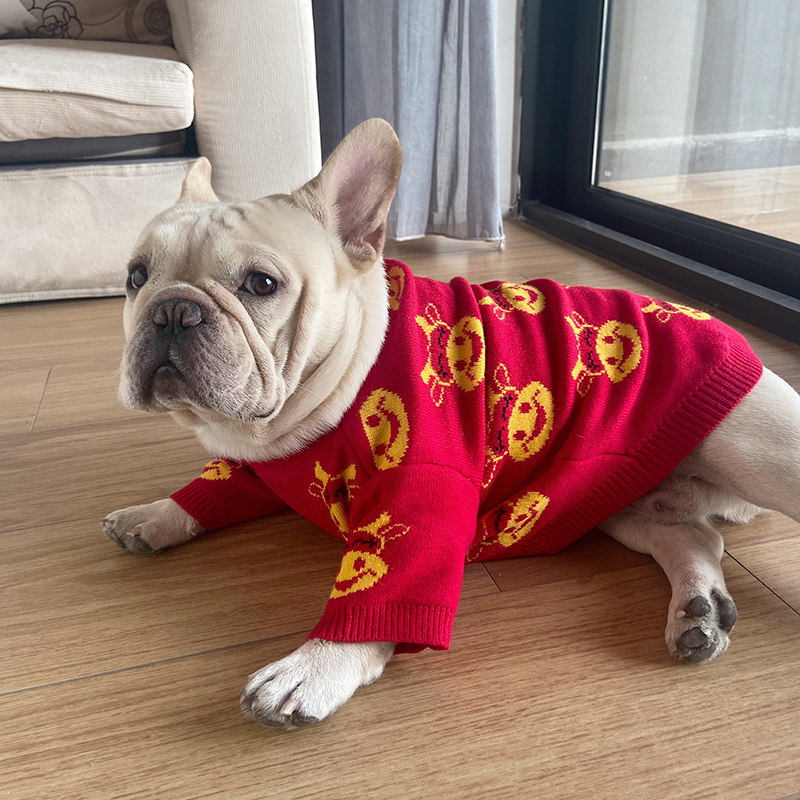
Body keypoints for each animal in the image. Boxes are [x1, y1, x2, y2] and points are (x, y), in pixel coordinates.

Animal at [104, 118, 800, 730]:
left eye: (261, 284)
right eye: (136, 277)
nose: (172, 312)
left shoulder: (423, 488)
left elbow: (388, 586)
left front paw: (315, 666)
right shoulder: (256, 460)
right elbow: (218, 484)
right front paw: (156, 514)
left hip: (758, 451)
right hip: (617, 502)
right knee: (692, 538)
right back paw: (699, 611)